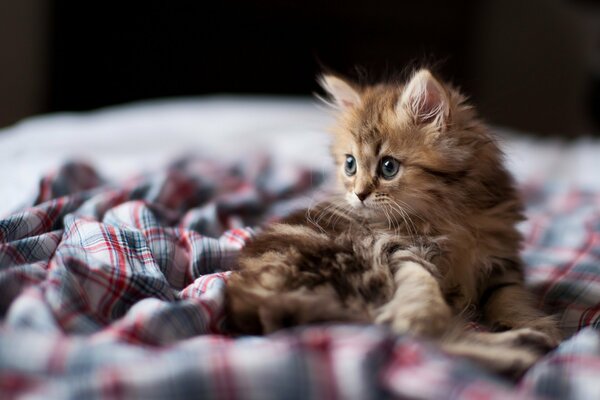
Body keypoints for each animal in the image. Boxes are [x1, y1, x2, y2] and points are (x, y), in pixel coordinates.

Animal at [226, 68, 564, 376]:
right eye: (350, 165)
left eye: (388, 167)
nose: (359, 194)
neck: (448, 214)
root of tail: (250, 301)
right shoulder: (397, 246)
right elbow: (421, 287)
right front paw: (423, 312)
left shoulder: (501, 258)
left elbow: (510, 296)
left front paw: (537, 324)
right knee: (420, 341)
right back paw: (519, 352)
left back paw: (527, 342)